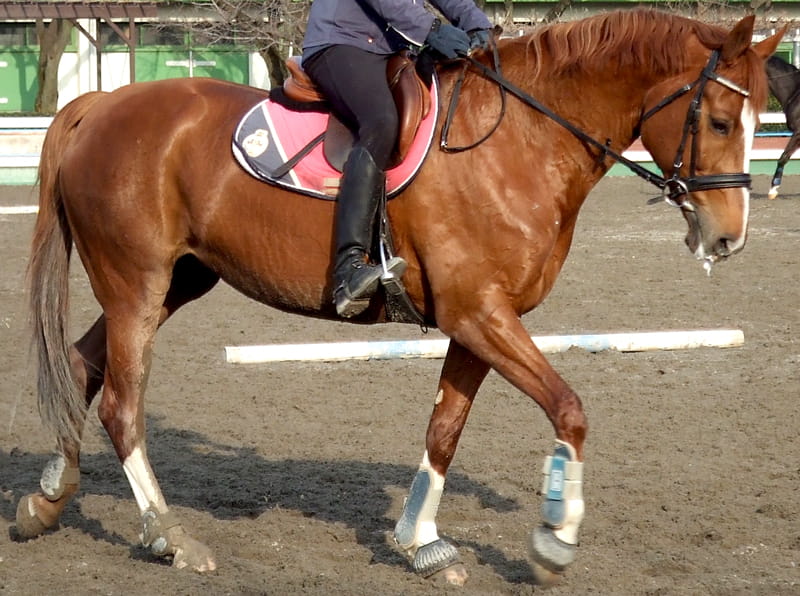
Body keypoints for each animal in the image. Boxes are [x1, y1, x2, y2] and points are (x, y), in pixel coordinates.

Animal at [15, 9, 781, 587]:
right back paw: (169, 536)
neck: (523, 141)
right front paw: (554, 537)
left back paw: (47, 500)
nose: (729, 238)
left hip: (173, 282)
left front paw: (420, 541)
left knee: (82, 367)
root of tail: (99, 104)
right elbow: (569, 408)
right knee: (121, 403)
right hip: (136, 284)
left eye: (758, 121)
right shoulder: (480, 314)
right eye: (719, 121)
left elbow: (444, 431)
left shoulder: (478, 321)